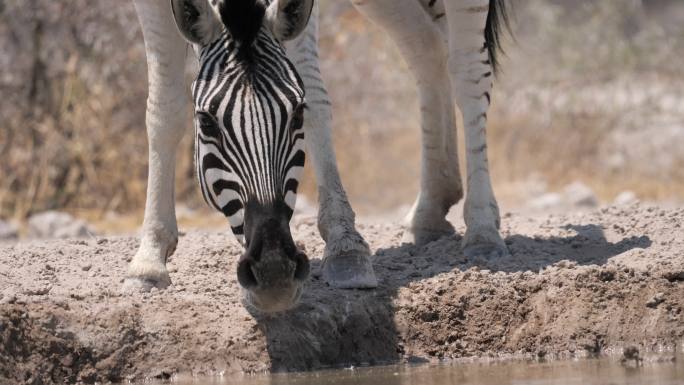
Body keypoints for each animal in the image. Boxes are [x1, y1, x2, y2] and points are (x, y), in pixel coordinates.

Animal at [125, 0, 510, 312]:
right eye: (205, 122)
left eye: (297, 113)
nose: (274, 275)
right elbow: (163, 107)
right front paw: (150, 259)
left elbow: (314, 89)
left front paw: (345, 247)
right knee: (425, 46)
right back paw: (431, 206)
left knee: (469, 71)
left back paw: (482, 228)